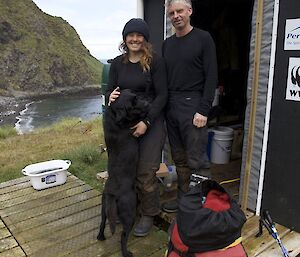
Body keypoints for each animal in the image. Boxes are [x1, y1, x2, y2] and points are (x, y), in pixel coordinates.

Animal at [98, 88, 149, 256]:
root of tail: (113, 194)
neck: (114, 118)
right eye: (132, 104)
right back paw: (126, 252)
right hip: (129, 213)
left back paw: (100, 237)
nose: (147, 103)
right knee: (123, 235)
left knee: (102, 222)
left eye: (136, 97)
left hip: (104, 207)